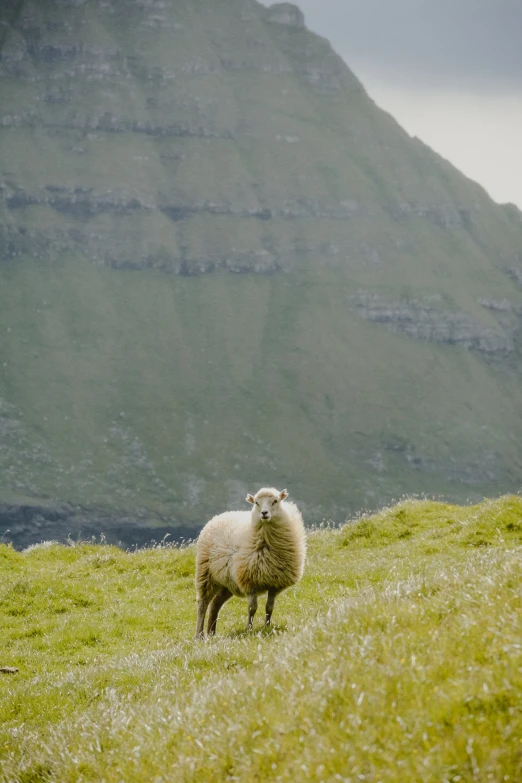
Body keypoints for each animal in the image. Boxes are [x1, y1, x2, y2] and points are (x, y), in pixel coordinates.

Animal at [194, 486, 304, 640]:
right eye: (256, 503)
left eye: (275, 501)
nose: (264, 513)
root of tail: (218, 517)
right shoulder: (249, 582)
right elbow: (252, 608)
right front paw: (249, 629)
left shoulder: (274, 584)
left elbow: (269, 607)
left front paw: (267, 626)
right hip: (206, 574)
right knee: (202, 604)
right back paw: (199, 634)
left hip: (228, 583)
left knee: (215, 604)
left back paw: (212, 633)